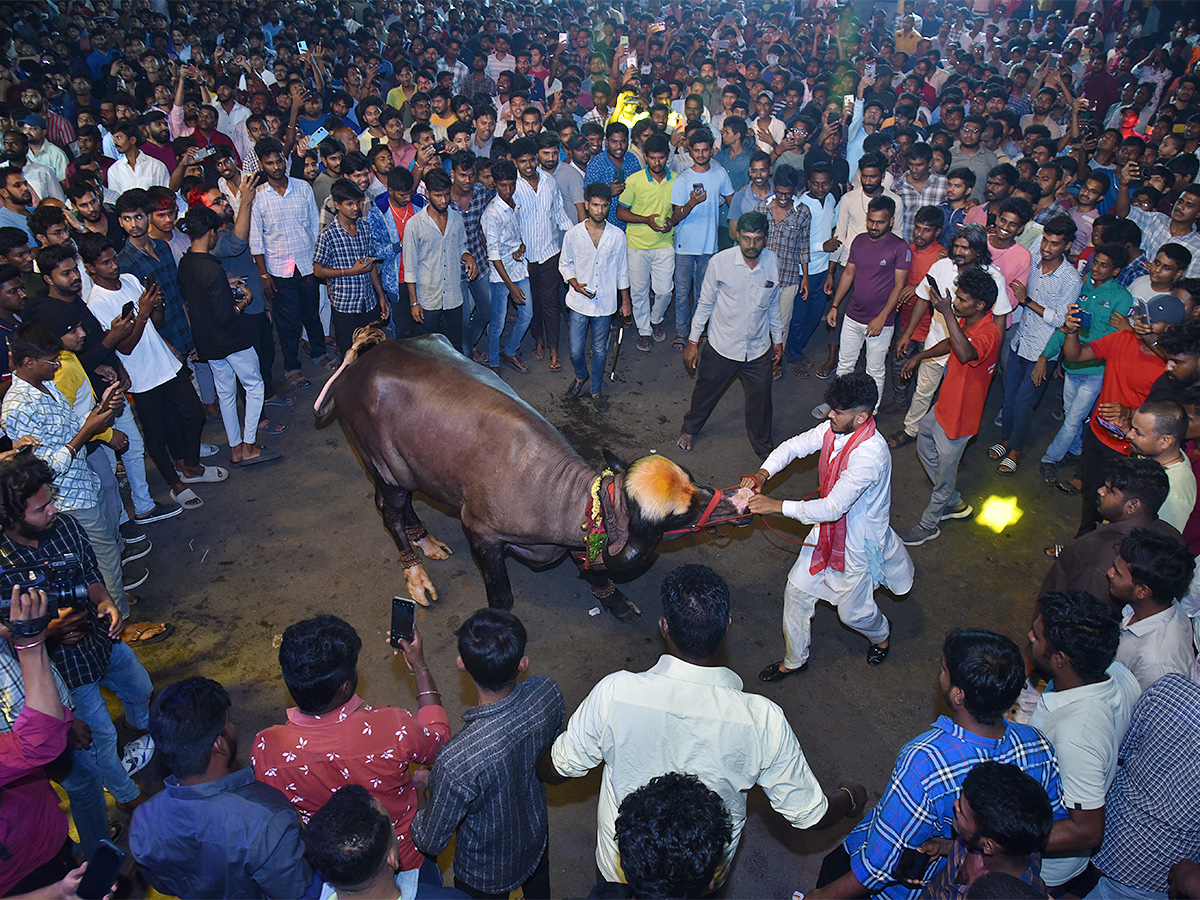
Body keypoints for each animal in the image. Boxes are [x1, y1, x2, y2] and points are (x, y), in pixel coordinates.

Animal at [314, 328, 753, 619]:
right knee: (389, 509)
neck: (552, 496)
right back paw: (417, 574)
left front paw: (615, 601)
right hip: (384, 463)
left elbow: (595, 571)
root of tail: (360, 364)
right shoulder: (480, 531)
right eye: (681, 513)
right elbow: (502, 597)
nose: (738, 504)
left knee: (401, 506)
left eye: (693, 480)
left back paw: (427, 540)